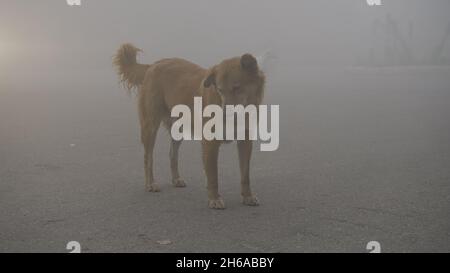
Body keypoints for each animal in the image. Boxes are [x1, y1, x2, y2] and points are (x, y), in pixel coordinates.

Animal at [114, 43, 266, 208]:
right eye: (220, 90)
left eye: (237, 87)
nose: (225, 114)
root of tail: (154, 65)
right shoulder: (210, 143)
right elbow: (213, 176)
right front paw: (214, 198)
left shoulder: (245, 142)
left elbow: (245, 175)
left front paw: (247, 196)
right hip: (150, 126)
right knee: (148, 158)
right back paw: (150, 183)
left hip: (179, 129)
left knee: (172, 154)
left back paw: (175, 179)